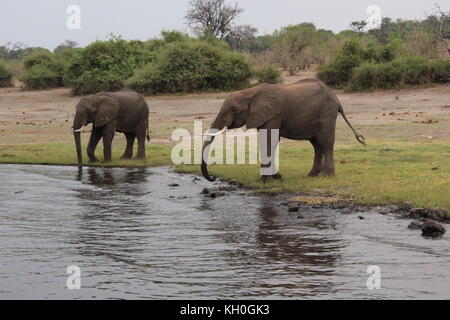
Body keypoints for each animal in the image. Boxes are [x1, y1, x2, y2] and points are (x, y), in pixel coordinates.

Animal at [200, 78, 366, 182]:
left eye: (233, 109)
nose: (213, 177)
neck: (250, 92)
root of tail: (337, 99)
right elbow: (269, 142)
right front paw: (273, 178)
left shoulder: (274, 114)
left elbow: (268, 141)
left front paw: (267, 179)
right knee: (316, 145)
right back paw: (312, 176)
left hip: (327, 114)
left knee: (325, 143)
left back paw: (327, 176)